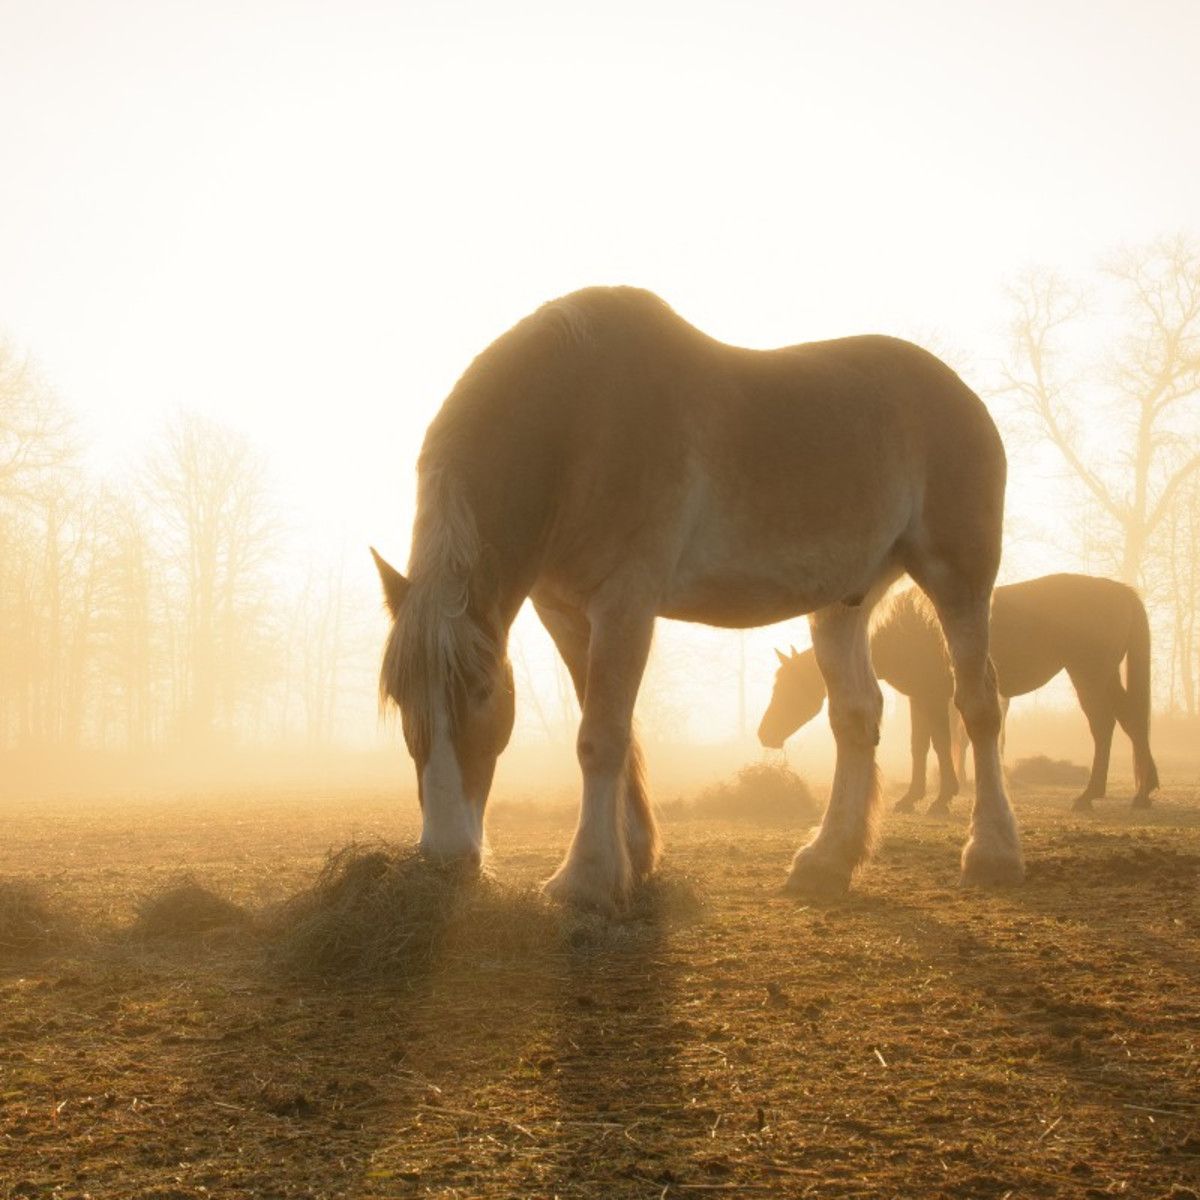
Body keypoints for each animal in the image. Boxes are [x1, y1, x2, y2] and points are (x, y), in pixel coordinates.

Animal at [372, 286, 1021, 912]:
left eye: (483, 691)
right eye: (400, 697)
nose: (447, 857)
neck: (580, 423)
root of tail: (962, 396)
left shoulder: (626, 604)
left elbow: (600, 738)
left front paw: (585, 879)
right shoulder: (565, 615)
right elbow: (617, 731)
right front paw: (635, 861)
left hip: (958, 580)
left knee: (978, 705)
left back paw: (991, 853)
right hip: (842, 602)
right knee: (856, 716)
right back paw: (826, 860)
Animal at [759, 573, 1159, 812]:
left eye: (786, 688)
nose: (765, 734)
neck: (902, 631)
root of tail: (1121, 591)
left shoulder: (934, 696)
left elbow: (939, 742)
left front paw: (941, 797)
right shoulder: (919, 697)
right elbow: (919, 745)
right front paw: (911, 797)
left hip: (1089, 673)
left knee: (1105, 725)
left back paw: (1093, 794)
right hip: (1103, 675)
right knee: (1131, 720)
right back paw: (1142, 790)